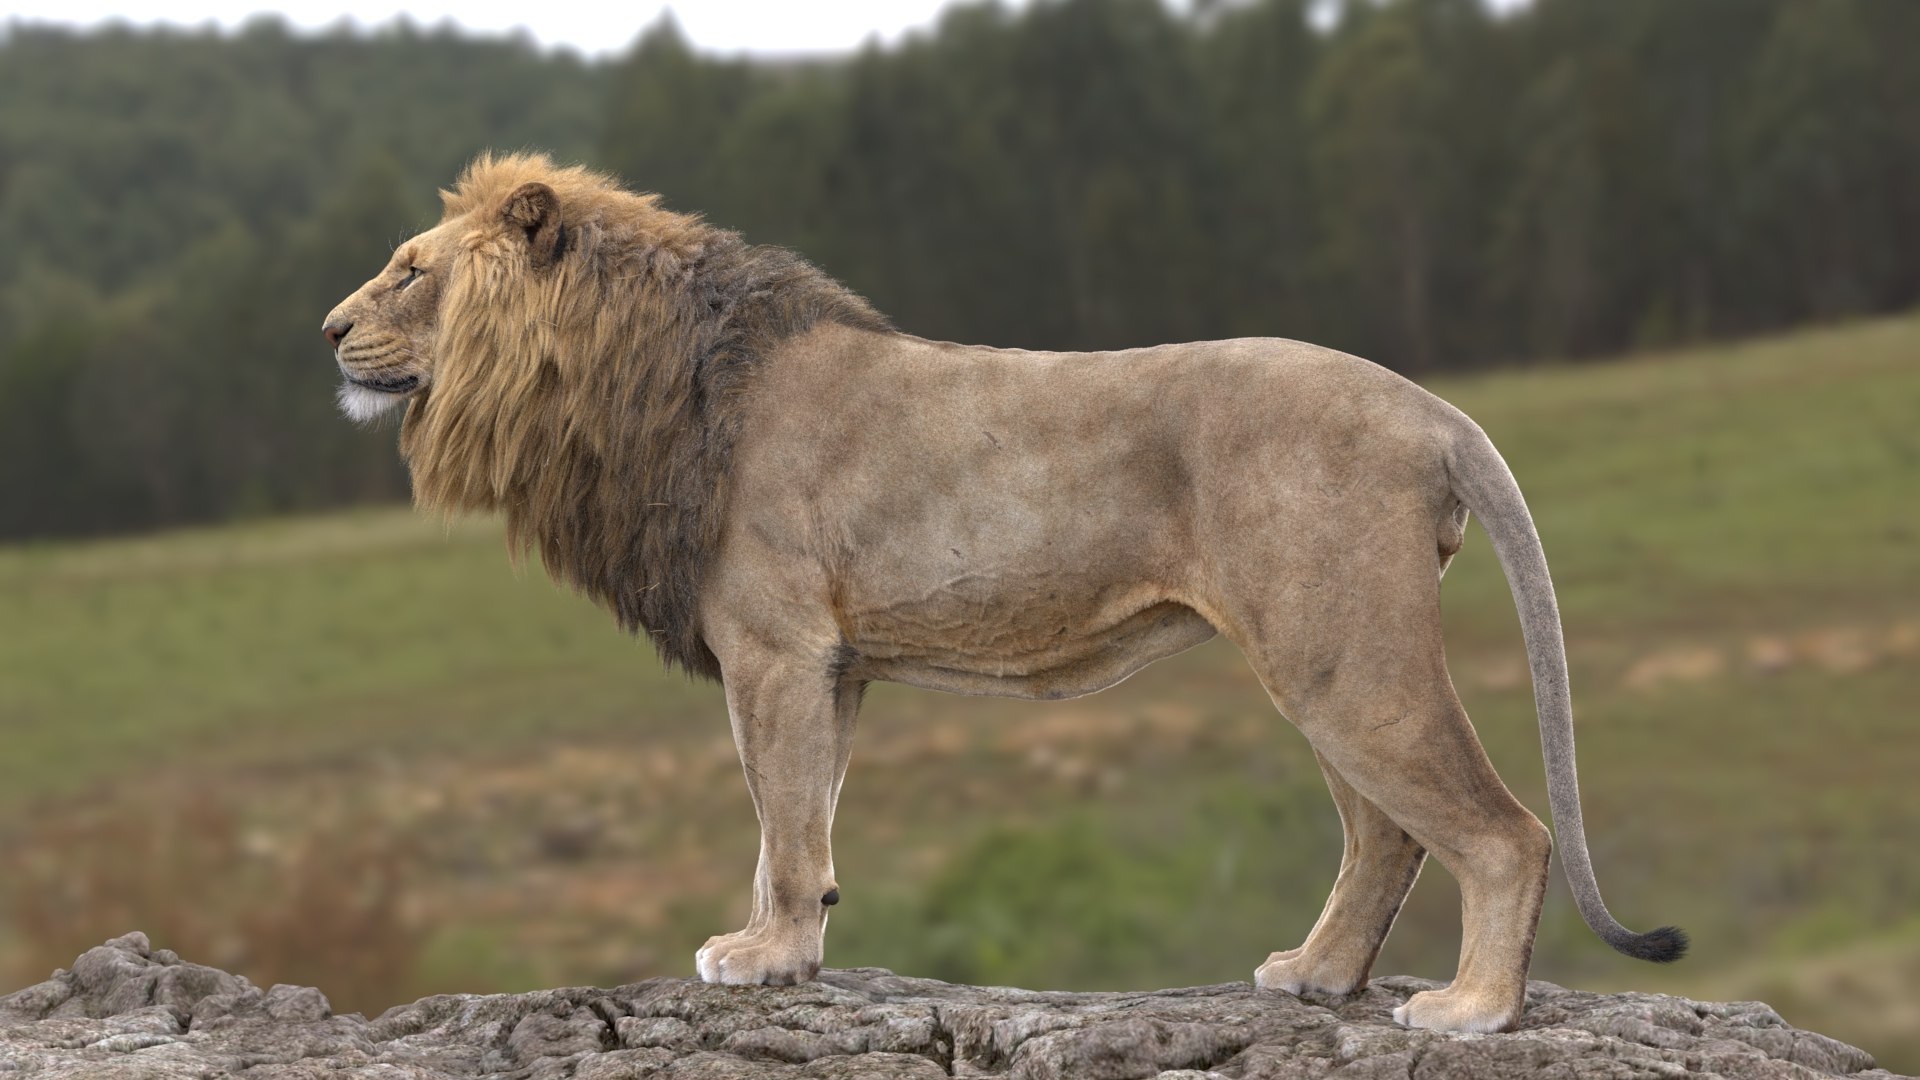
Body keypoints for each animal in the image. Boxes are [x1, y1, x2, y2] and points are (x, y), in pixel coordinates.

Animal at [321, 152, 1684, 1034]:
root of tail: (1431, 407)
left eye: (408, 272)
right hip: (1320, 655)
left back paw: (1471, 1012)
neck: (630, 380)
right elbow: (797, 823)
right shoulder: (832, 662)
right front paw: (790, 947)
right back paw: (1315, 976)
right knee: (1387, 833)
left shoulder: (773, 647)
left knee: (1500, 831)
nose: (327, 331)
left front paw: (760, 960)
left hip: (1341, 653)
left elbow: (779, 821)